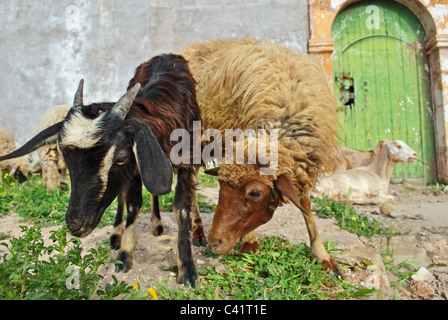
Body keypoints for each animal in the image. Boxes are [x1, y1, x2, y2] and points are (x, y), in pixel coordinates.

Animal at [0, 53, 203, 286]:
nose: (76, 223)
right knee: (124, 198)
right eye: (66, 156)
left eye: (121, 158)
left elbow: (182, 208)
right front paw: (124, 254)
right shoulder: (134, 169)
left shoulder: (183, 161)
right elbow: (132, 204)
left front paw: (187, 267)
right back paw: (118, 234)